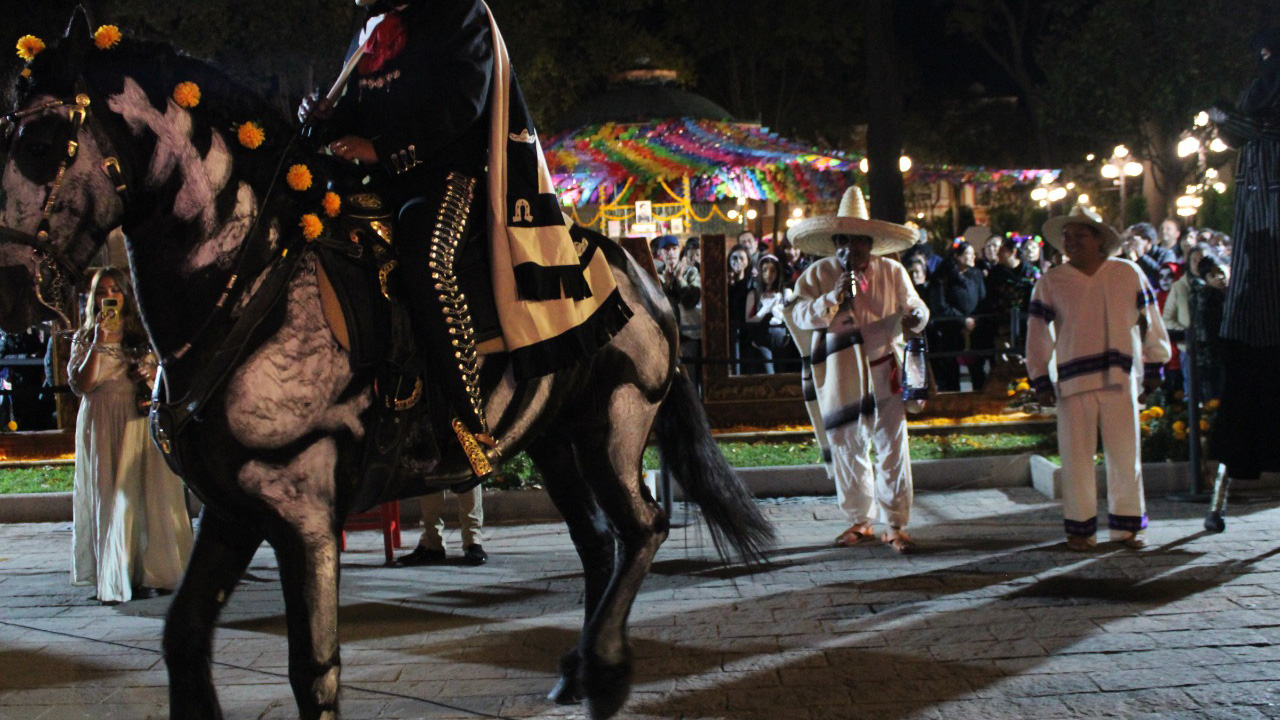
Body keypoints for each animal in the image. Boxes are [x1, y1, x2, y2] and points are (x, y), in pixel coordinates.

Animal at [0, 16, 768, 717]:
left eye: (38, 145)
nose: (11, 289)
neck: (250, 281)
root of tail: (640, 270)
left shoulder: (304, 516)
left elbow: (315, 670)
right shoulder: (233, 509)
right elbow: (184, 637)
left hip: (613, 424)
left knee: (643, 528)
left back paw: (605, 670)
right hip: (554, 440)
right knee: (599, 542)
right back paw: (577, 670)